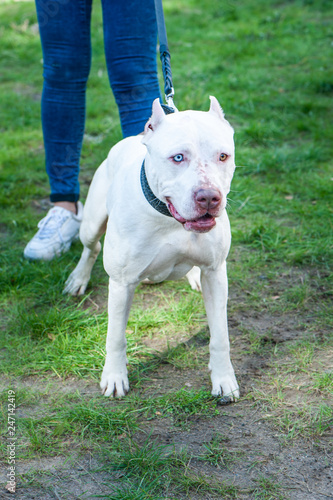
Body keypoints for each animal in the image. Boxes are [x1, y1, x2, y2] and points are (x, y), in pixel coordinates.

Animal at [63, 97, 239, 400]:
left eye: (223, 156)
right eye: (178, 158)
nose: (208, 197)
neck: (169, 220)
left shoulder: (216, 273)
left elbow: (220, 336)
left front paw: (224, 379)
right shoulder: (121, 283)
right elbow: (115, 337)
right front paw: (114, 377)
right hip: (92, 224)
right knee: (91, 248)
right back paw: (78, 278)